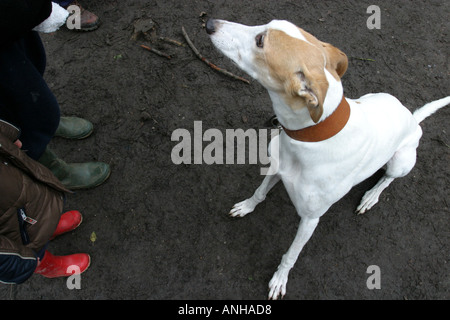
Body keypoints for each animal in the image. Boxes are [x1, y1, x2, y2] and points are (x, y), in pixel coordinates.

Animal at [207, 18, 446, 300]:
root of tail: (412, 118)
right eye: (267, 24)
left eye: (260, 41)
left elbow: (292, 254)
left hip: (401, 161)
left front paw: (280, 278)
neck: (310, 138)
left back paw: (371, 195)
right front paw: (246, 206)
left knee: (387, 178)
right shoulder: (277, 168)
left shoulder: (311, 219)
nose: (209, 23)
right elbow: (259, 192)